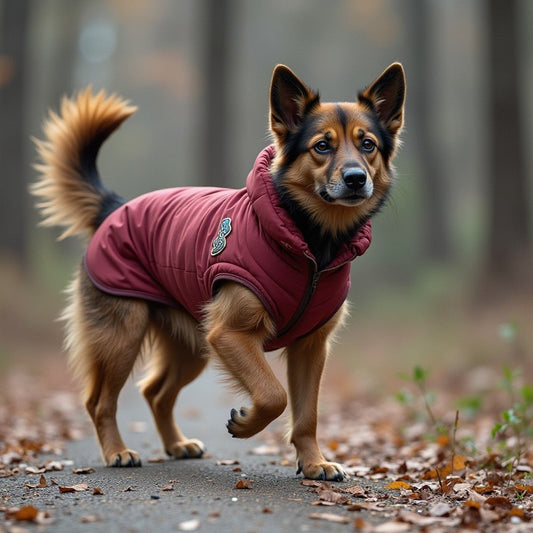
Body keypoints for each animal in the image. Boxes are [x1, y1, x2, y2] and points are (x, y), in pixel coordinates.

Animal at [32, 61, 404, 478]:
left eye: (367, 144)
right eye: (322, 146)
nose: (357, 178)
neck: (309, 243)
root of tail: (116, 207)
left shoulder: (311, 349)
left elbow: (307, 414)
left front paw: (313, 462)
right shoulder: (229, 333)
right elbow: (273, 394)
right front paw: (246, 425)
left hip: (191, 346)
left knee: (156, 393)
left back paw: (176, 444)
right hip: (122, 336)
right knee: (100, 401)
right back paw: (117, 451)